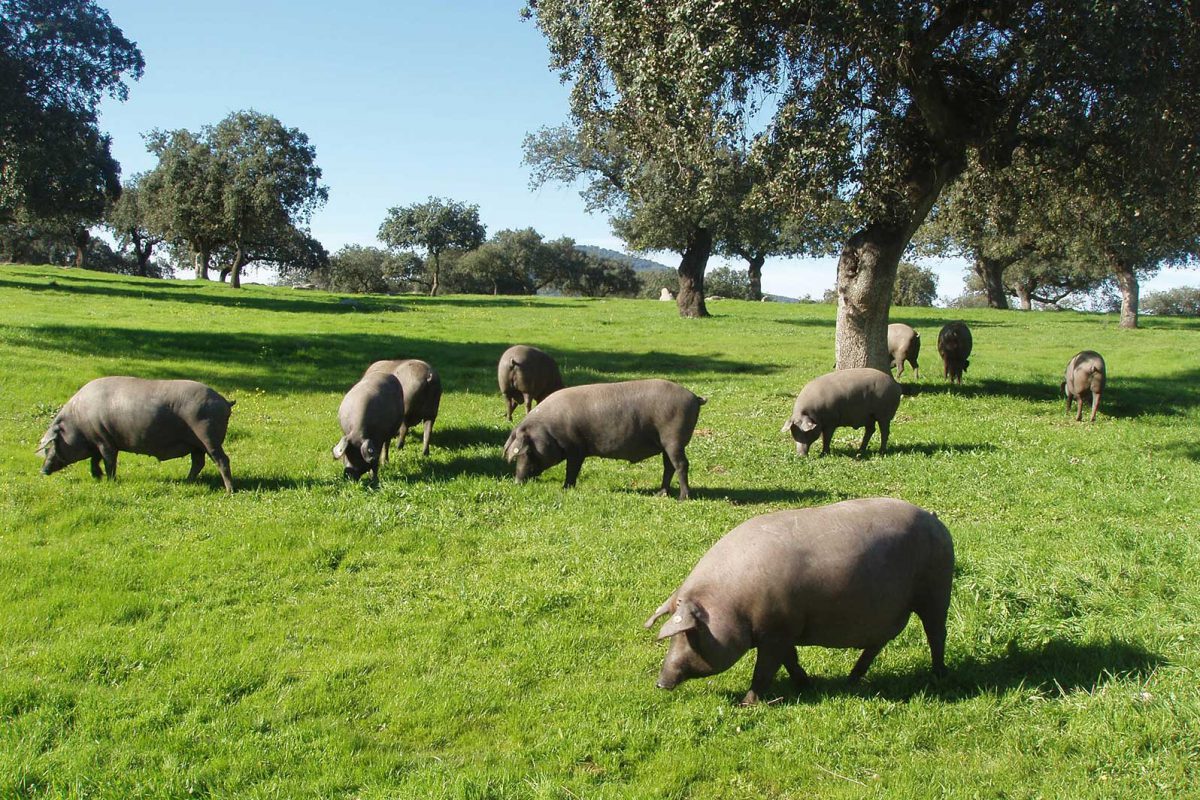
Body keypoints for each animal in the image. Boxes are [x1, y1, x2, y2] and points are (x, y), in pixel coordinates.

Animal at [36, 376, 237, 494]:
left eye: (52, 445)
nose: (43, 471)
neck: (78, 423)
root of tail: (224, 401)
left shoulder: (105, 441)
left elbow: (108, 461)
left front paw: (110, 481)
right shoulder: (98, 441)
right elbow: (95, 460)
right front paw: (96, 477)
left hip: (207, 436)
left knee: (222, 460)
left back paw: (229, 491)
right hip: (196, 444)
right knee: (198, 462)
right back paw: (187, 482)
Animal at [504, 381, 700, 501]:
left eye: (528, 451)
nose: (517, 482)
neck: (551, 430)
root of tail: (695, 397)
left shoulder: (576, 449)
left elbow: (571, 470)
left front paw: (565, 489)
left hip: (674, 439)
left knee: (681, 465)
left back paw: (683, 498)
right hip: (666, 445)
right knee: (669, 467)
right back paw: (661, 494)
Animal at [648, 501, 955, 705]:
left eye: (690, 633)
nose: (660, 683)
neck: (732, 604)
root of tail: (934, 518)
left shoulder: (776, 631)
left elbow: (765, 670)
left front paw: (747, 704)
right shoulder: (782, 631)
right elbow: (790, 660)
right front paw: (806, 685)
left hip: (936, 591)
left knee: (936, 634)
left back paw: (939, 675)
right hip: (891, 613)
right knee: (877, 644)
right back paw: (851, 680)